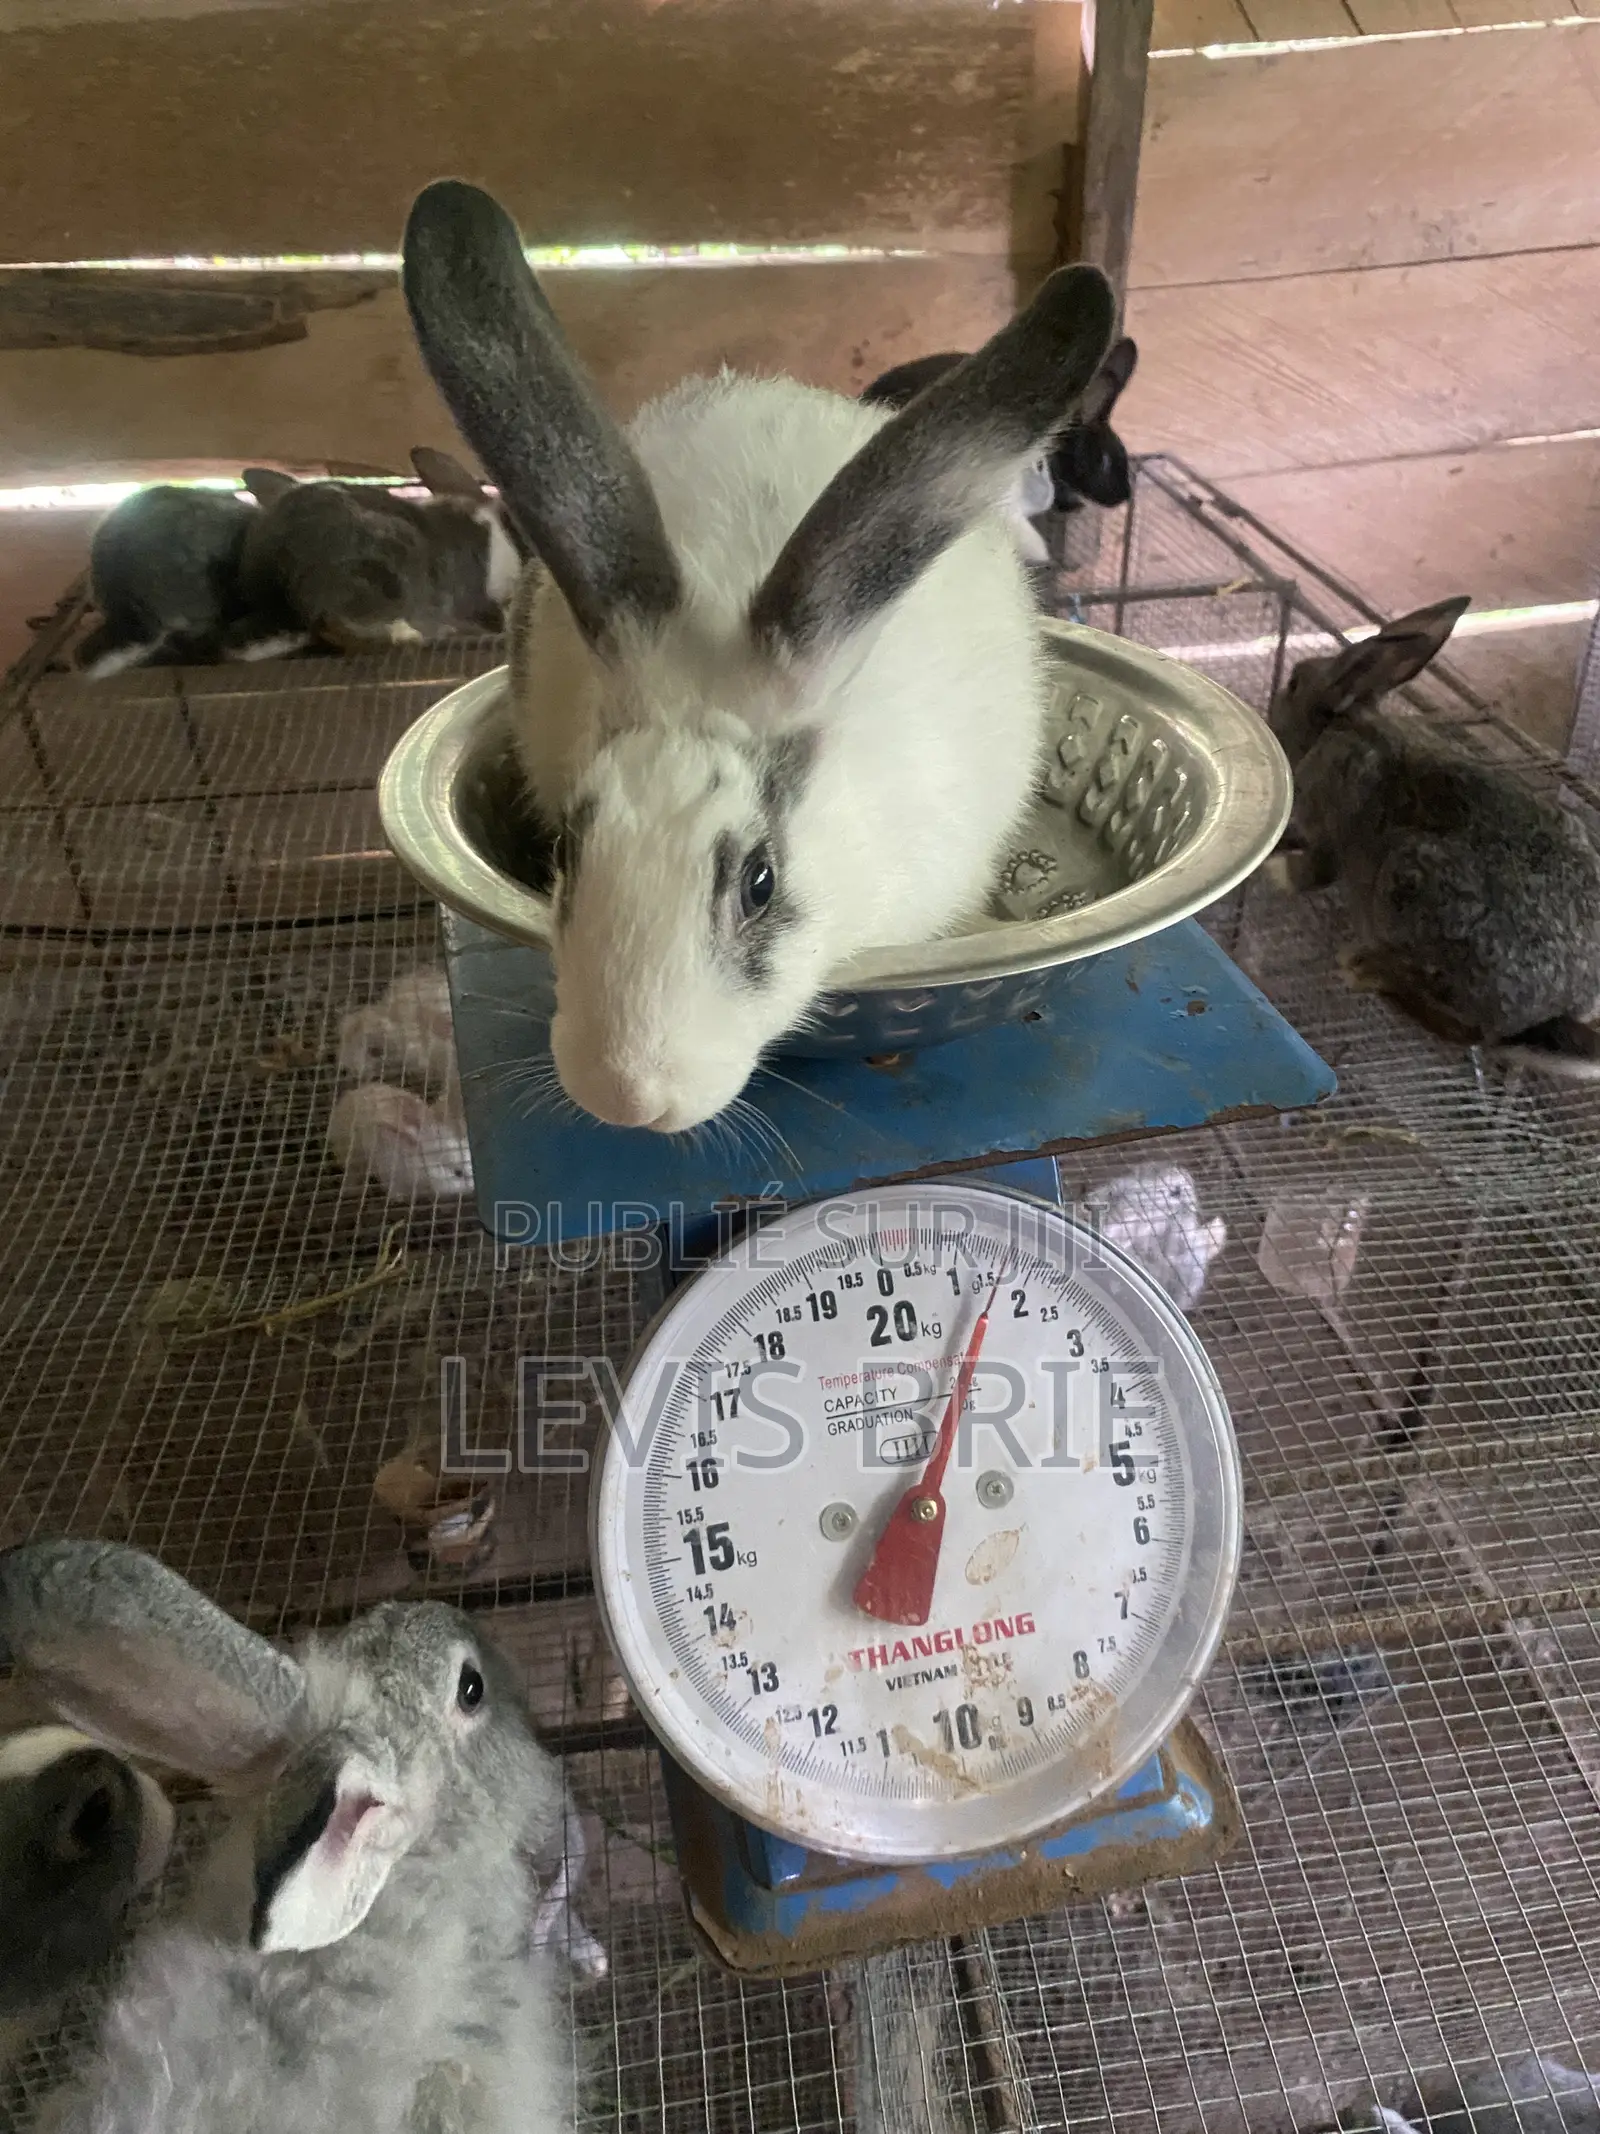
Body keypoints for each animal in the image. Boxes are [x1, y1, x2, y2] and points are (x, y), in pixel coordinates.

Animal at [1268, 597, 1600, 1077]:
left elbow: (1312, 871)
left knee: (1471, 1032)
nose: (1270, 709)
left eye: (1293, 683)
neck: (1341, 727)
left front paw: (1274, 873)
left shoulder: (1329, 819)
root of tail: (1555, 1007)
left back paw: (1364, 969)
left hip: (1411, 884)